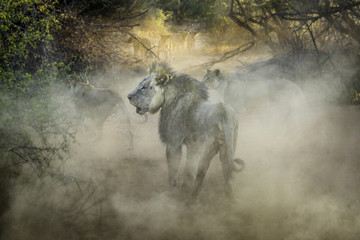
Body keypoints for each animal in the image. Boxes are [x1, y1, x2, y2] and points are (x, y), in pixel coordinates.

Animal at [127, 62, 245, 199]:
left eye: (144, 87)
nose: (128, 96)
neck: (169, 99)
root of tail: (224, 114)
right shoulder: (193, 145)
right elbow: (189, 169)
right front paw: (184, 186)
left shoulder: (173, 144)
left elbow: (173, 170)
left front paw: (171, 191)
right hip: (227, 146)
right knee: (226, 177)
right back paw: (228, 200)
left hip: (208, 147)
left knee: (201, 175)